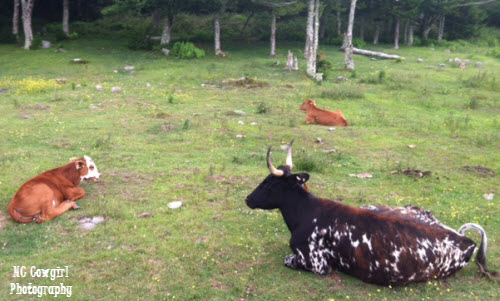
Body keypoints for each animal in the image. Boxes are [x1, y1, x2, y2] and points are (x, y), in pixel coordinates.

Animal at [244, 139, 494, 284]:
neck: (306, 214)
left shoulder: (316, 263)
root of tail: (464, 239)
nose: (248, 199)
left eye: (268, 183)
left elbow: (287, 259)